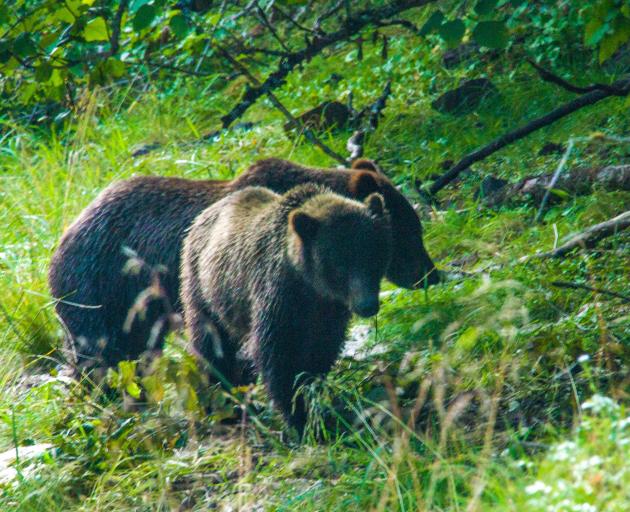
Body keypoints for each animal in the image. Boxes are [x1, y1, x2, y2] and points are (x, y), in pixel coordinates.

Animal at [180, 184, 392, 432]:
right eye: (340, 265)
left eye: (373, 256)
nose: (367, 305)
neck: (310, 286)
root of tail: (202, 217)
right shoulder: (276, 296)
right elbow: (278, 356)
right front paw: (299, 417)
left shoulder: (329, 312)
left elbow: (321, 352)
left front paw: (315, 401)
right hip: (205, 290)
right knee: (211, 346)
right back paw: (222, 404)